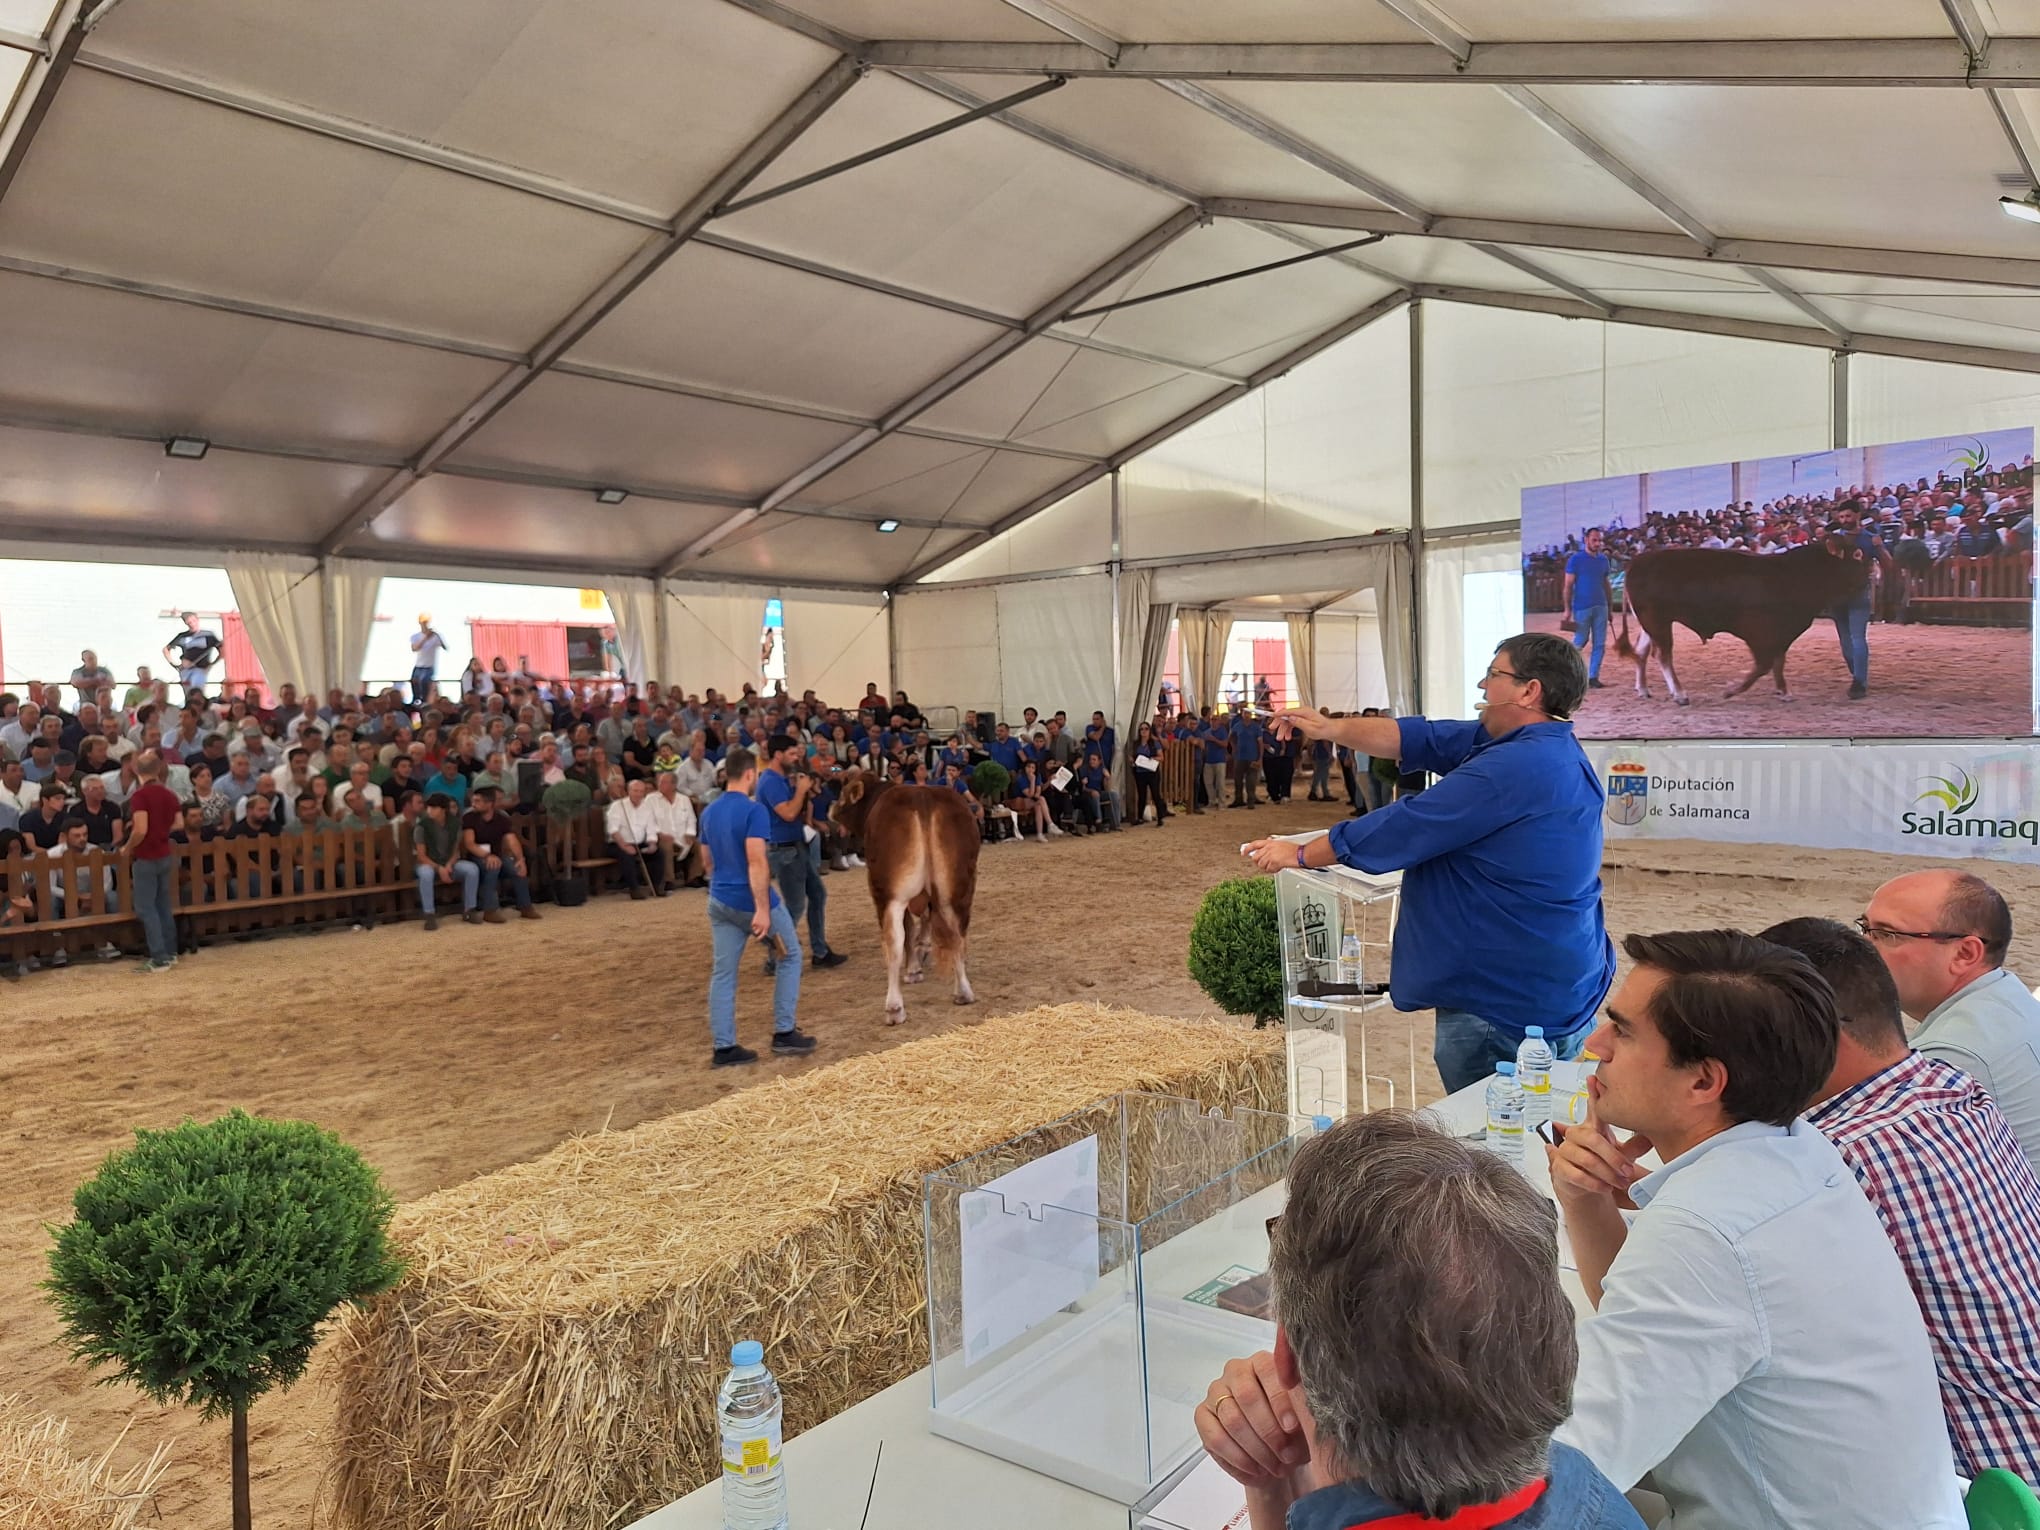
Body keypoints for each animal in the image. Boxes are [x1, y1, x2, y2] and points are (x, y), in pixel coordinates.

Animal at [832, 771, 983, 1024]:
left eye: (843, 794)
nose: (831, 809)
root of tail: (922, 797)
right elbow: (927, 922)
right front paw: (923, 951)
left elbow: (911, 931)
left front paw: (914, 968)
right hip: (959, 887)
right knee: (957, 932)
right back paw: (963, 991)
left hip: (890, 895)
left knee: (895, 941)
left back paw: (894, 1007)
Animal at [1615, 542, 1868, 705]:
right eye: (1857, 554)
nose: (1872, 566)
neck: (1795, 575)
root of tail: (1638, 560)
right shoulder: (1759, 634)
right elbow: (1763, 665)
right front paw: (1731, 691)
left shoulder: (1784, 634)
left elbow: (1778, 663)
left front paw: (1784, 692)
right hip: (1657, 620)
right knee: (1663, 655)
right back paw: (1680, 694)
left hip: (1650, 623)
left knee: (1641, 652)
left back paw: (1644, 689)